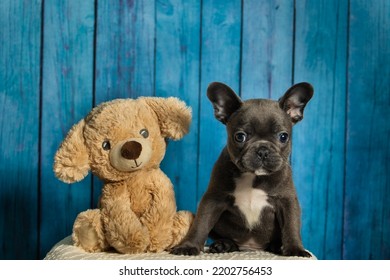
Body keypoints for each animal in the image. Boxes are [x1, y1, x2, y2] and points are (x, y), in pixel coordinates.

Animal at [171, 82, 314, 258]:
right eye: (240, 136)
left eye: (283, 136)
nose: (262, 150)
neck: (253, 177)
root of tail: (252, 248)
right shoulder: (212, 199)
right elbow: (201, 224)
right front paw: (188, 246)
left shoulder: (287, 201)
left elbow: (291, 225)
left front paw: (295, 249)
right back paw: (224, 245)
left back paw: (275, 246)